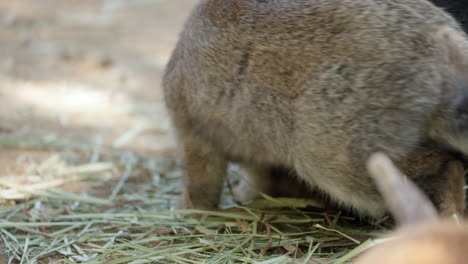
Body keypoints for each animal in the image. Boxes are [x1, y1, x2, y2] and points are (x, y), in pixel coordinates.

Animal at [164, 0, 468, 218]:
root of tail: (440, 46)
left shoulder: (194, 133)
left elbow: (201, 181)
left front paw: (189, 213)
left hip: (334, 151)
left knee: (443, 167)